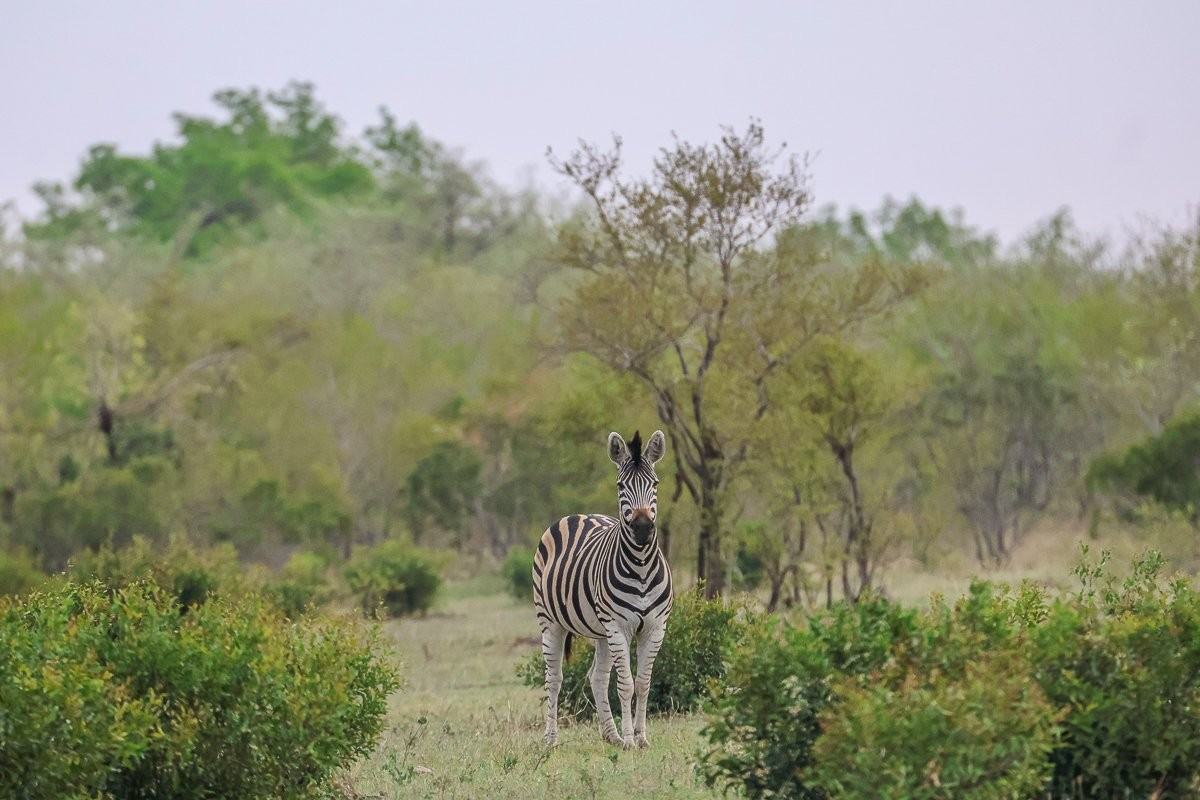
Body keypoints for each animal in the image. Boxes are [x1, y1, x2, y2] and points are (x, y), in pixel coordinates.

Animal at [532, 429, 673, 749]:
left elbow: (643, 683)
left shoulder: (655, 627)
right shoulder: (619, 627)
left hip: (601, 631)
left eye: (655, 484)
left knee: (596, 677)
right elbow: (626, 684)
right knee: (554, 678)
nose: (643, 528)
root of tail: (578, 515)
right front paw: (632, 740)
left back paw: (612, 735)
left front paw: (640, 738)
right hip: (552, 622)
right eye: (621, 485)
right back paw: (550, 739)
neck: (642, 567)